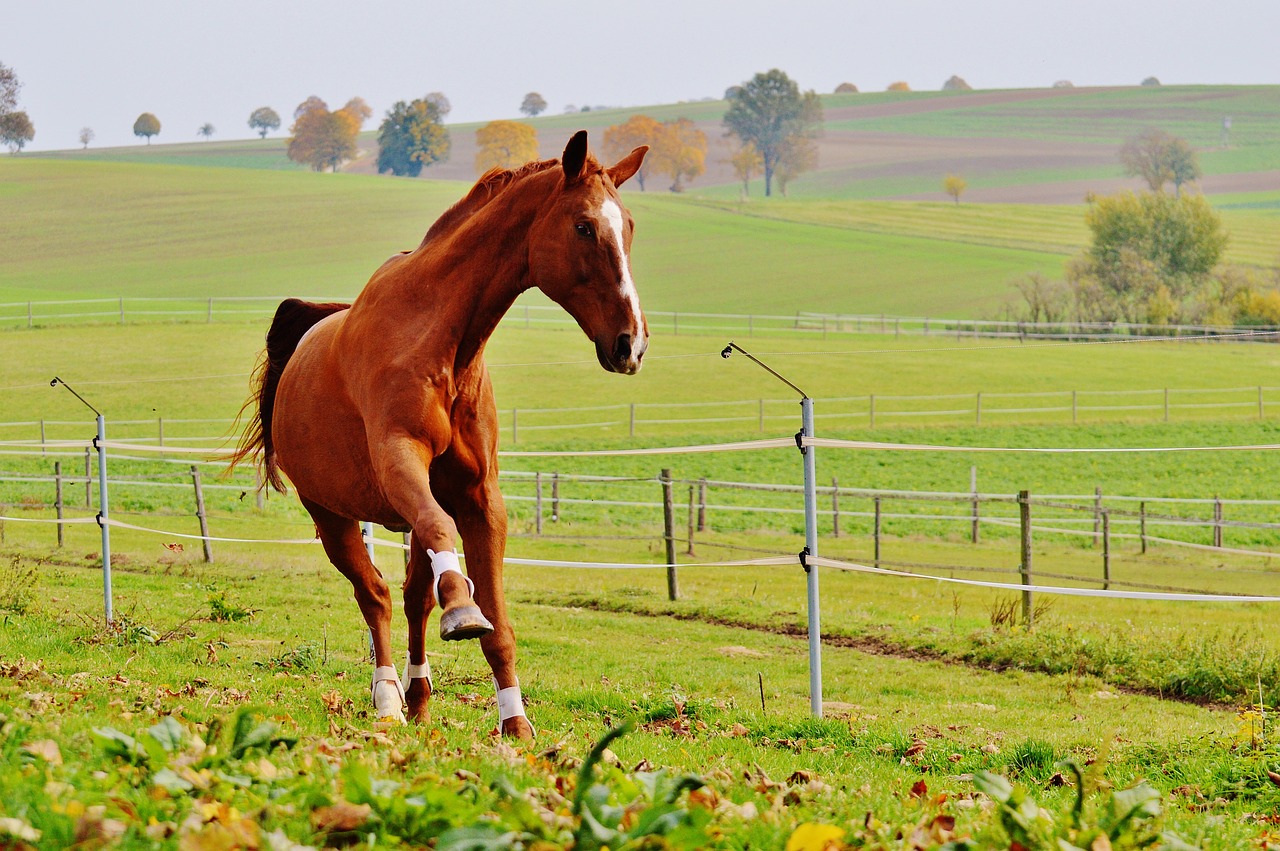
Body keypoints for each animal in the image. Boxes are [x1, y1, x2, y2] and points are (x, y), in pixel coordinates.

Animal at [227, 133, 650, 737]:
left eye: (629, 226)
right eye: (584, 226)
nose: (630, 345)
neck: (438, 336)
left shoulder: (479, 498)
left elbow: (496, 625)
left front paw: (515, 725)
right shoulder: (400, 462)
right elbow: (441, 547)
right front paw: (462, 611)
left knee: (410, 600)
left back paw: (420, 697)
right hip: (330, 516)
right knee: (375, 595)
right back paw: (387, 698)